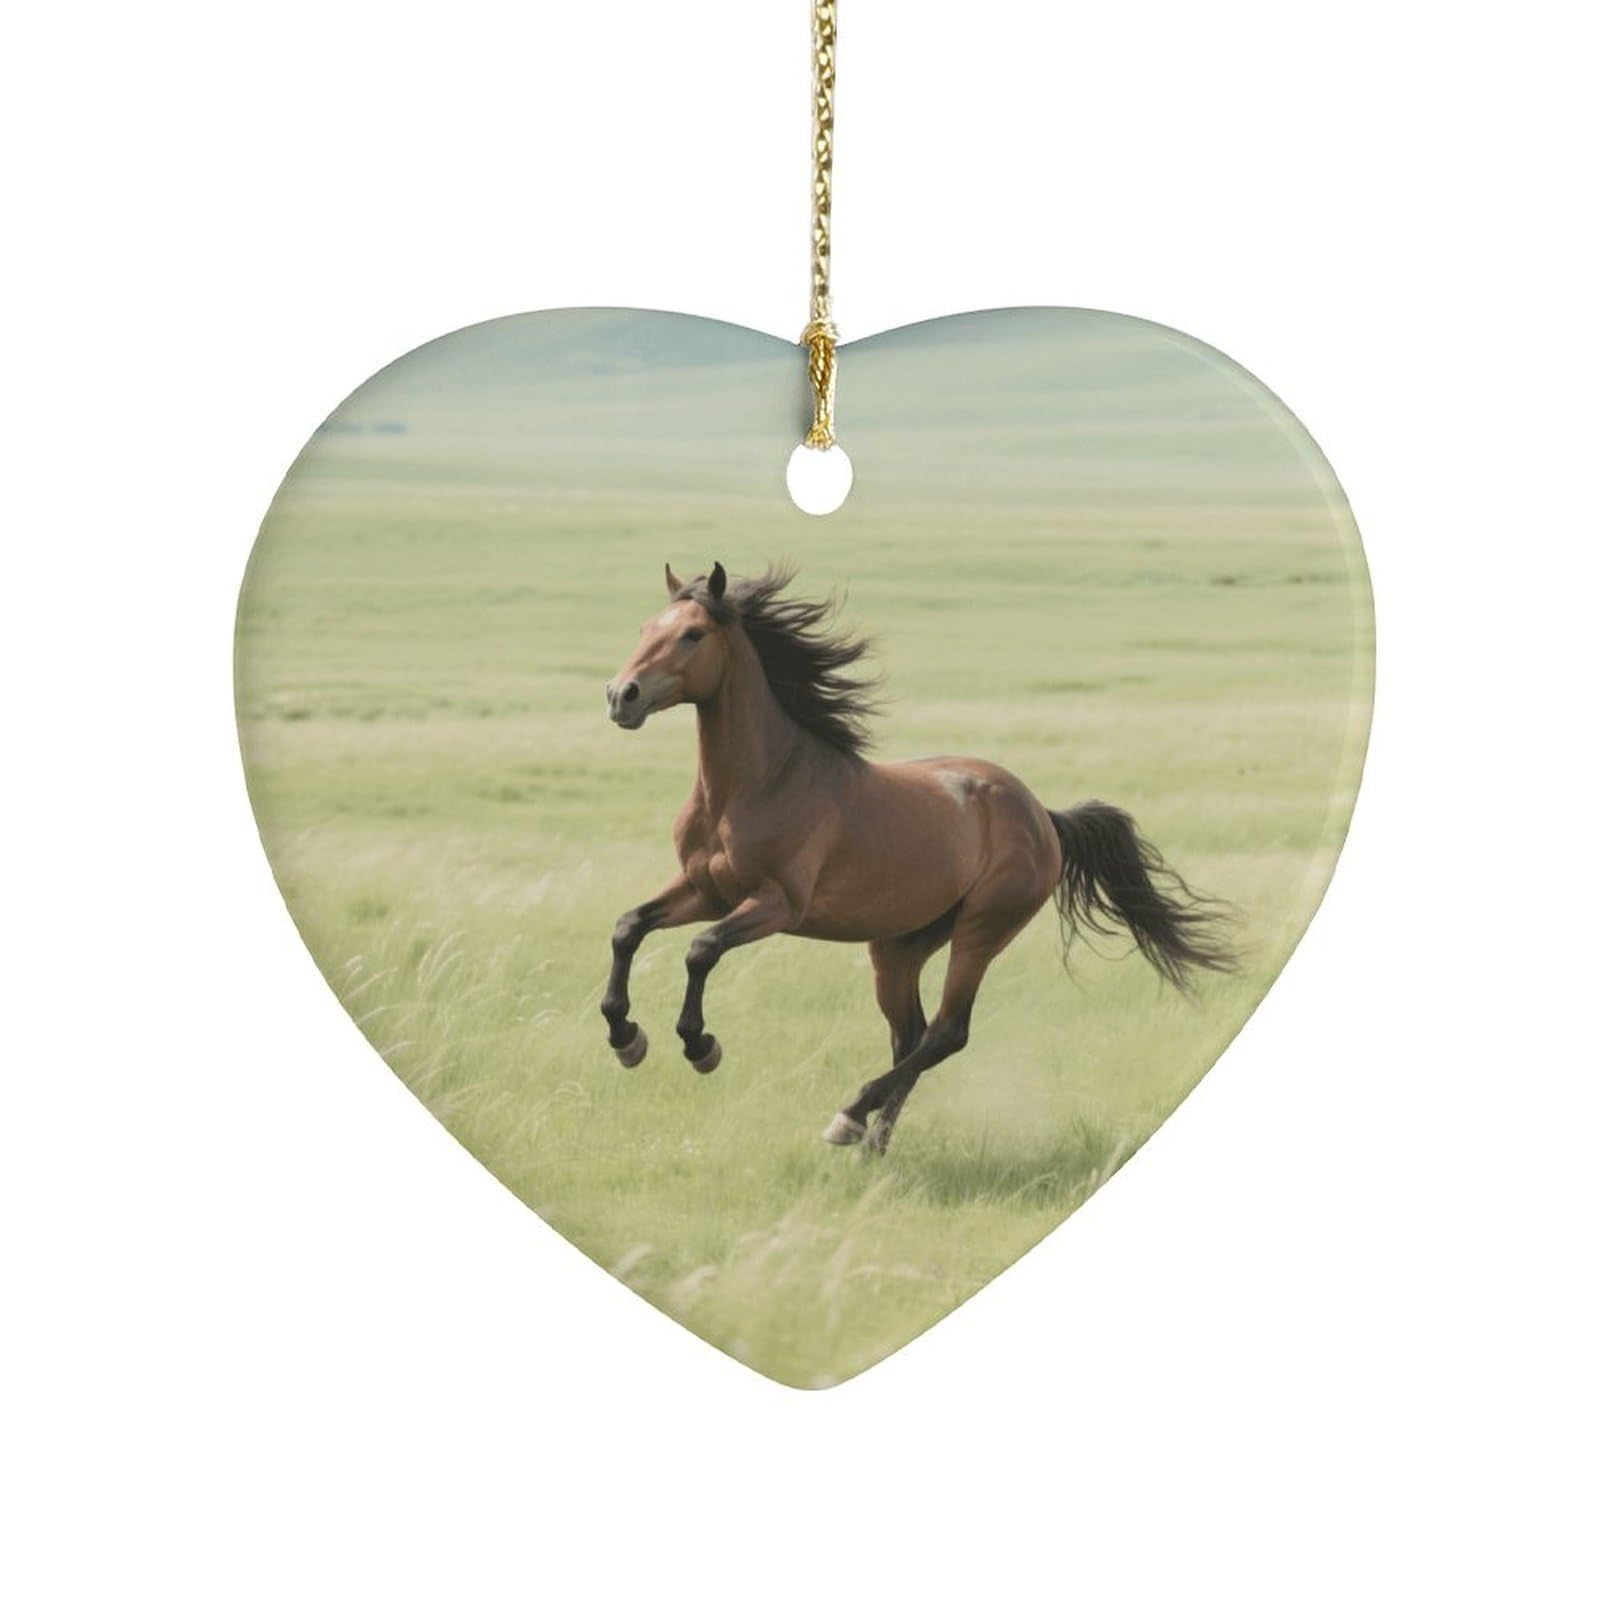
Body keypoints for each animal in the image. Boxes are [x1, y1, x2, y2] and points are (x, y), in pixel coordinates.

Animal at [600, 562, 1234, 1155]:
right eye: (645, 627)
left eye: (693, 634)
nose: (621, 696)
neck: (759, 783)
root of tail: (1042, 816)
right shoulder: (706, 891)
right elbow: (628, 927)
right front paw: (626, 1037)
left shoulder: (776, 904)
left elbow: (701, 950)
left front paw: (699, 1045)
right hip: (900, 944)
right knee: (912, 1034)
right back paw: (872, 1146)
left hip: (981, 929)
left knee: (946, 1033)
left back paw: (849, 1119)